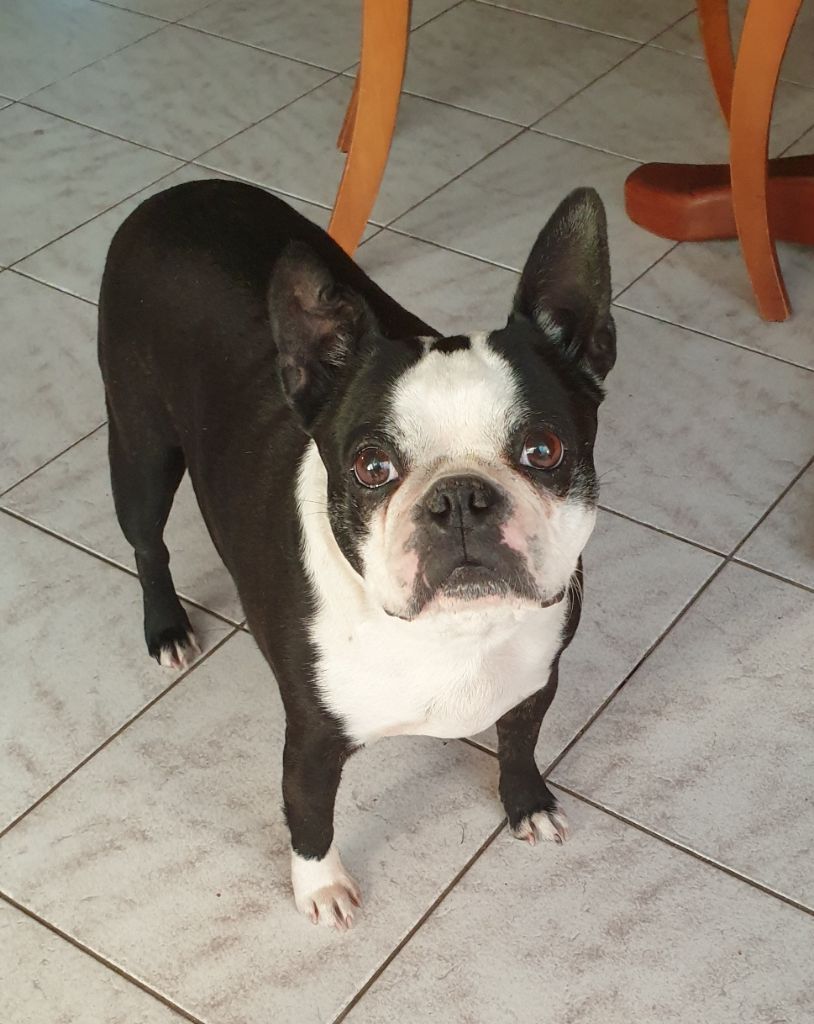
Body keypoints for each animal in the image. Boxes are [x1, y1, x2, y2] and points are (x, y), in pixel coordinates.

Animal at [98, 180, 615, 929]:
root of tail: (175, 194)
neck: (454, 632)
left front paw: (527, 803)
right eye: (372, 467)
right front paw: (321, 887)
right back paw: (166, 627)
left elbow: (519, 745)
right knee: (146, 543)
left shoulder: (535, 679)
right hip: (140, 446)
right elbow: (310, 813)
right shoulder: (313, 737)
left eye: (543, 451)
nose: (460, 498)